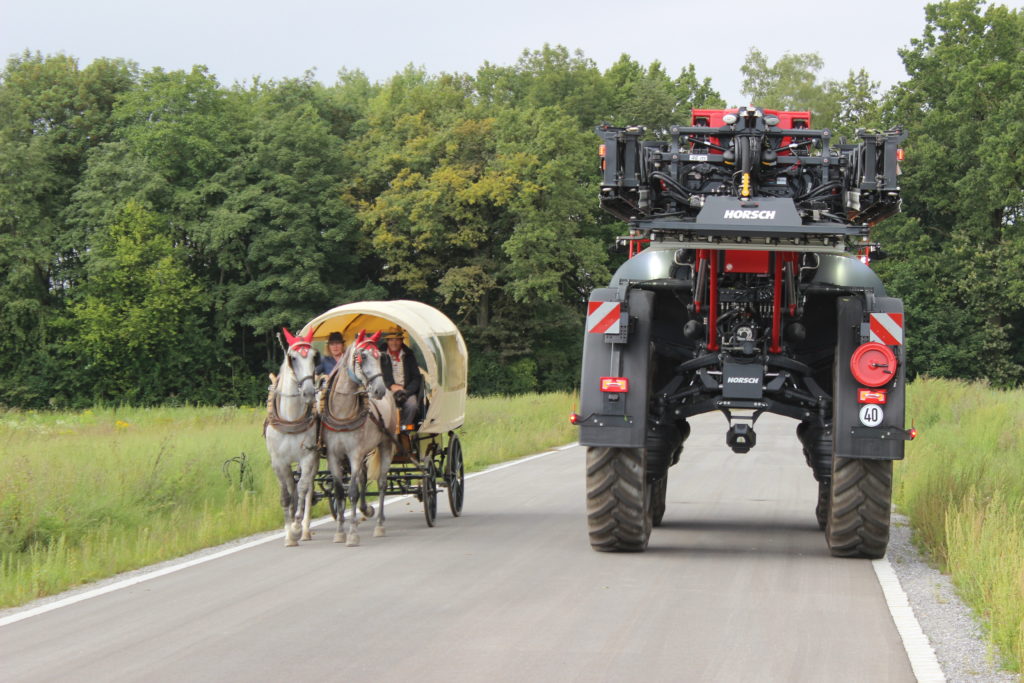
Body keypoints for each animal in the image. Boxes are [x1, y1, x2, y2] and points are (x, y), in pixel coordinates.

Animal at [321, 327, 397, 548]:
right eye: (362, 356)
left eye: (380, 356)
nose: (379, 390)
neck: (341, 412)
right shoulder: (334, 455)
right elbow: (339, 492)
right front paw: (340, 532)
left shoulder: (354, 453)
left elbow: (352, 491)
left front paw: (352, 534)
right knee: (363, 478)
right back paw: (366, 510)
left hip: (385, 444)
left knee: (381, 483)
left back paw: (379, 524)